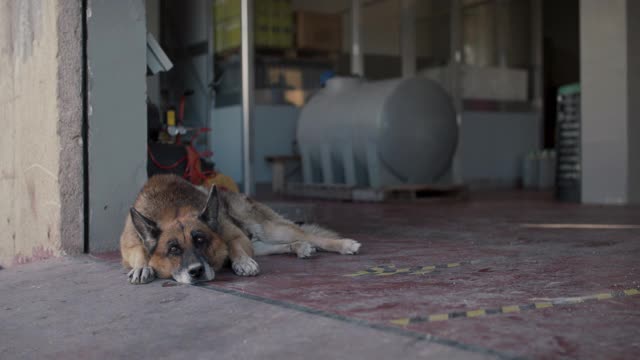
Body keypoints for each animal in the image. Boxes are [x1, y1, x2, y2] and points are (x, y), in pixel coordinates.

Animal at [120, 174, 360, 284]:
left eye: (200, 240)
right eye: (173, 250)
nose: (196, 272)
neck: (173, 209)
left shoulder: (235, 235)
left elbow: (234, 247)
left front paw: (242, 262)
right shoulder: (129, 244)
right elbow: (139, 252)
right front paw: (142, 266)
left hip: (269, 228)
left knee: (309, 234)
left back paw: (344, 244)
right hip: (260, 242)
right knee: (279, 245)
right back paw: (300, 247)